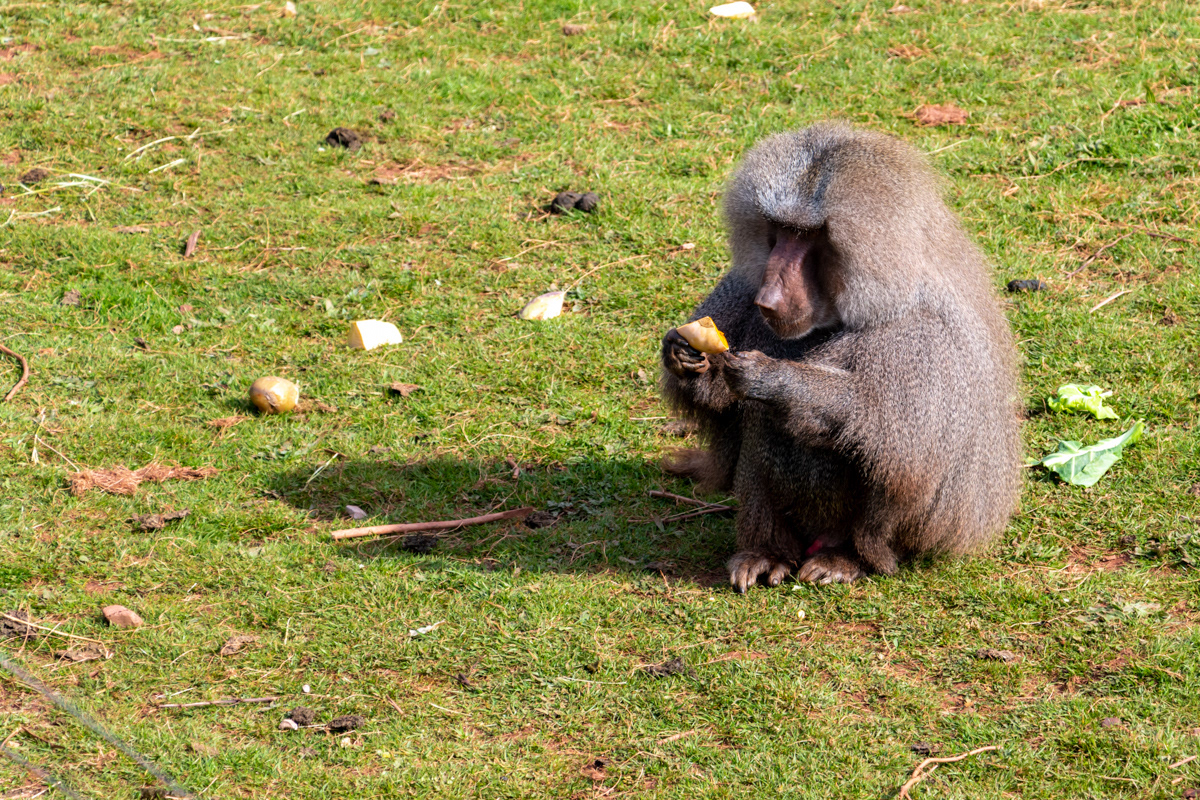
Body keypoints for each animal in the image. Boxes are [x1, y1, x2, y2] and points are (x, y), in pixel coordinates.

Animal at [661, 122, 1020, 592]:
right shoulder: (740, 285)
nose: (767, 298)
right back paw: (766, 553)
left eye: (810, 236)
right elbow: (725, 408)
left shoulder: (924, 334)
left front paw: (776, 378)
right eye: (780, 229)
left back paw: (847, 558)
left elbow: (905, 449)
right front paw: (685, 358)